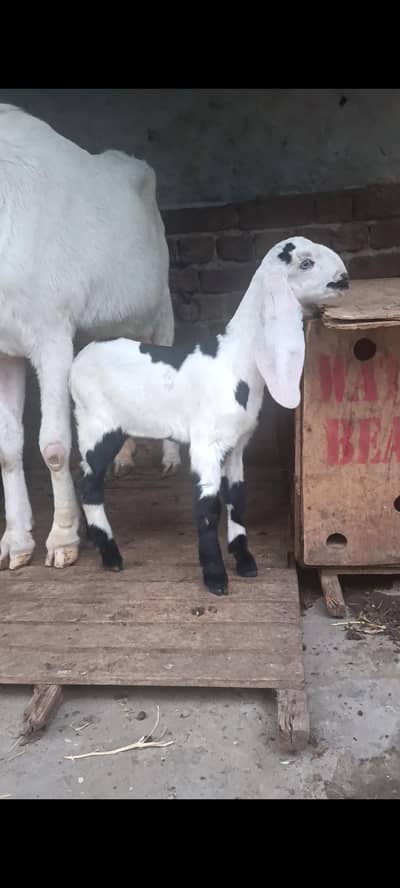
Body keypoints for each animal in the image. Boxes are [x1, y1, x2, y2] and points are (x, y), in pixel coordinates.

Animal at [0, 103, 180, 572]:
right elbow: (8, 448)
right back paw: (123, 457)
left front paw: (63, 538)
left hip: (161, 302)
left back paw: (170, 458)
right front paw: (16, 542)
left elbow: (53, 445)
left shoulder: (51, 333)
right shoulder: (4, 349)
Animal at [70, 236, 349, 596]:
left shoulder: (237, 444)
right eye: (305, 263)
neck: (236, 359)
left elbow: (237, 498)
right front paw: (216, 576)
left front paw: (244, 560)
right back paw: (110, 555)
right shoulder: (206, 444)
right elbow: (207, 508)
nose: (344, 279)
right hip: (97, 426)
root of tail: (78, 360)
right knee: (89, 484)